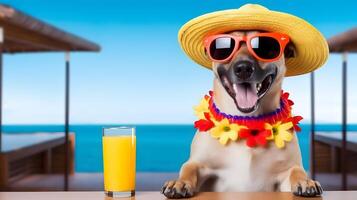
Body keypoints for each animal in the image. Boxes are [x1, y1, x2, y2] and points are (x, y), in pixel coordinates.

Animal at [161, 30, 322, 198]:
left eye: (266, 46)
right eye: (224, 48)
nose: (243, 68)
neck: (246, 123)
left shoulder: (285, 171)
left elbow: (296, 170)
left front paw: (305, 181)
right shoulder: (200, 163)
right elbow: (188, 168)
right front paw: (179, 182)